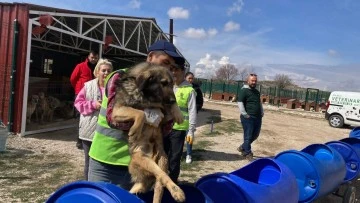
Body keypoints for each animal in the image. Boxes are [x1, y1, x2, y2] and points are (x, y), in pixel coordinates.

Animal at [112, 62, 186, 203]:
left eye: (172, 84)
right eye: (163, 83)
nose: (173, 100)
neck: (148, 96)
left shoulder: (164, 111)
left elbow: (166, 107)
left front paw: (178, 113)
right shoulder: (116, 110)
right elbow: (139, 112)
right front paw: (135, 130)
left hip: (162, 162)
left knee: (161, 182)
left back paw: (177, 192)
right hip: (143, 160)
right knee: (153, 180)